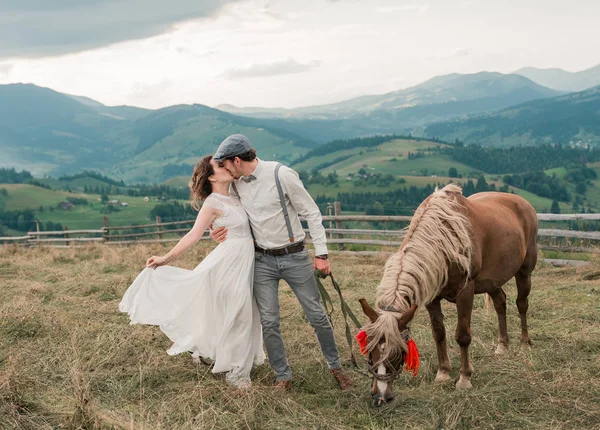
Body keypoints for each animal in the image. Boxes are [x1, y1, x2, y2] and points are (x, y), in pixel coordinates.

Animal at [358, 183, 536, 404]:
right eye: (369, 349)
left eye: (399, 350)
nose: (380, 396)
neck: (443, 240)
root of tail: (524, 203)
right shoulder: (431, 298)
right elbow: (439, 333)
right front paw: (443, 373)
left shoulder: (465, 292)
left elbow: (463, 336)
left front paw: (464, 378)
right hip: (493, 280)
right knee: (500, 303)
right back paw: (502, 346)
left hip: (524, 271)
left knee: (522, 304)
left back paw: (525, 343)